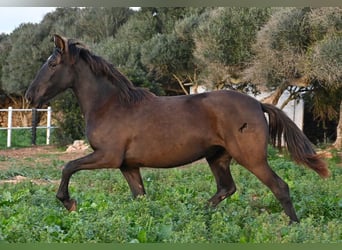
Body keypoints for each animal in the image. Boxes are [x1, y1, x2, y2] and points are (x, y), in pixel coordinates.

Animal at [25, 34, 330, 223]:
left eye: (52, 63)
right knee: (226, 188)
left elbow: (68, 167)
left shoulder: (107, 156)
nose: (29, 97)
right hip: (217, 158)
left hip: (252, 158)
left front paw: (69, 203)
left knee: (280, 187)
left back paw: (294, 227)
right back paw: (198, 216)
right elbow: (140, 198)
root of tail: (258, 104)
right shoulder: (127, 165)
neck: (110, 105)